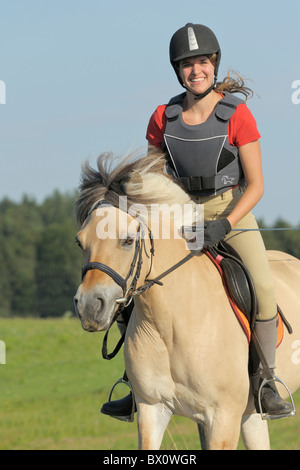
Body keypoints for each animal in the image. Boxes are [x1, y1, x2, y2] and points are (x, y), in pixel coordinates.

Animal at [73, 152, 300, 450]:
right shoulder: (152, 409)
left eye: (128, 240)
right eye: (80, 242)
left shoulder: (223, 418)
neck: (170, 321)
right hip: (250, 415)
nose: (89, 306)